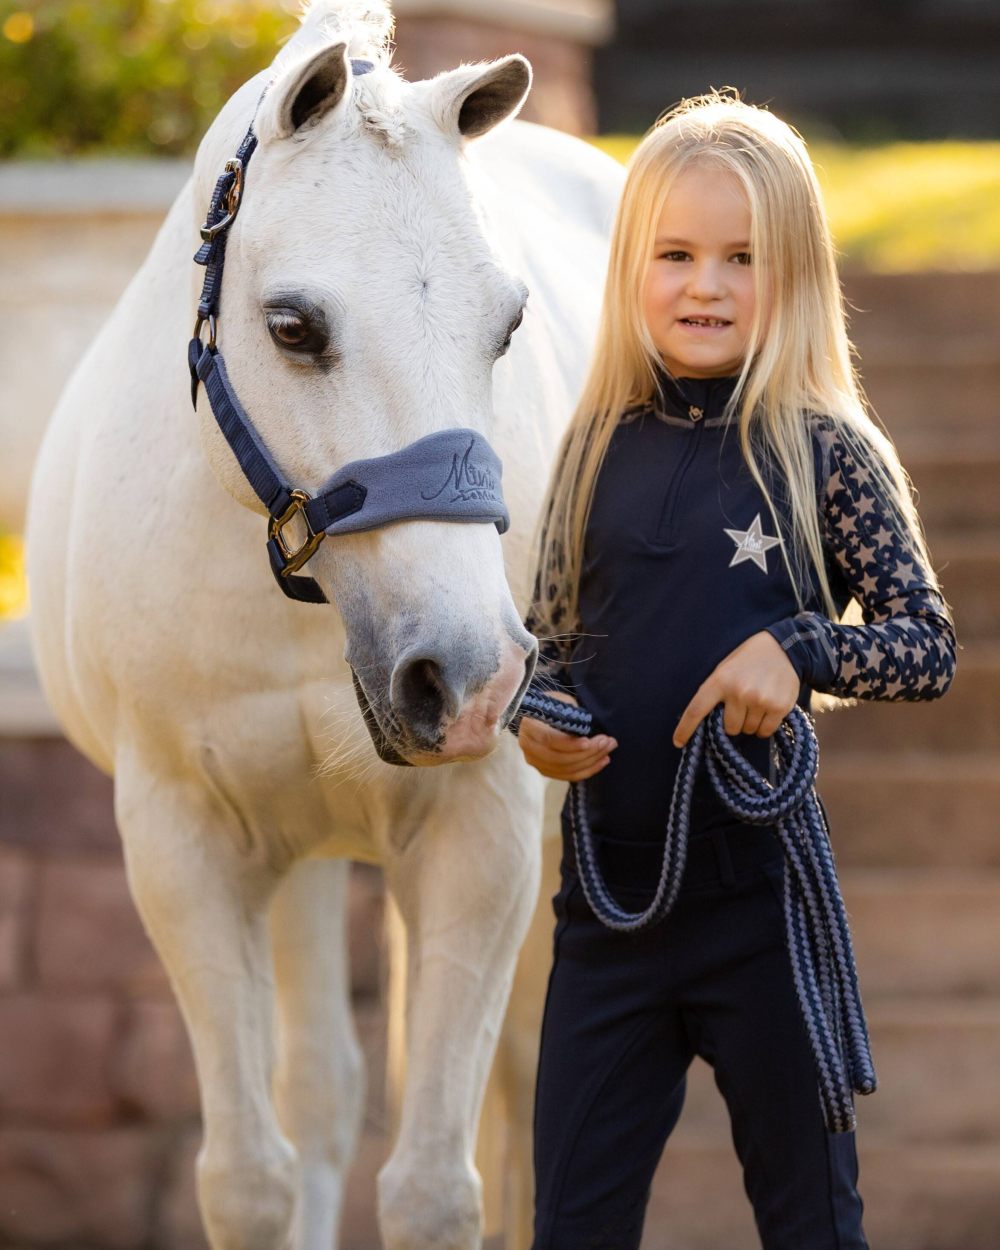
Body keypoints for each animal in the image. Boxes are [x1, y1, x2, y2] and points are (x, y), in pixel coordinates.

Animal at [27, 4, 620, 1245]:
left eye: (507, 324)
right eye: (294, 326)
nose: (469, 676)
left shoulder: (483, 837)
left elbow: (440, 1184)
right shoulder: (184, 842)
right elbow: (250, 1175)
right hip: (294, 857)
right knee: (324, 1090)